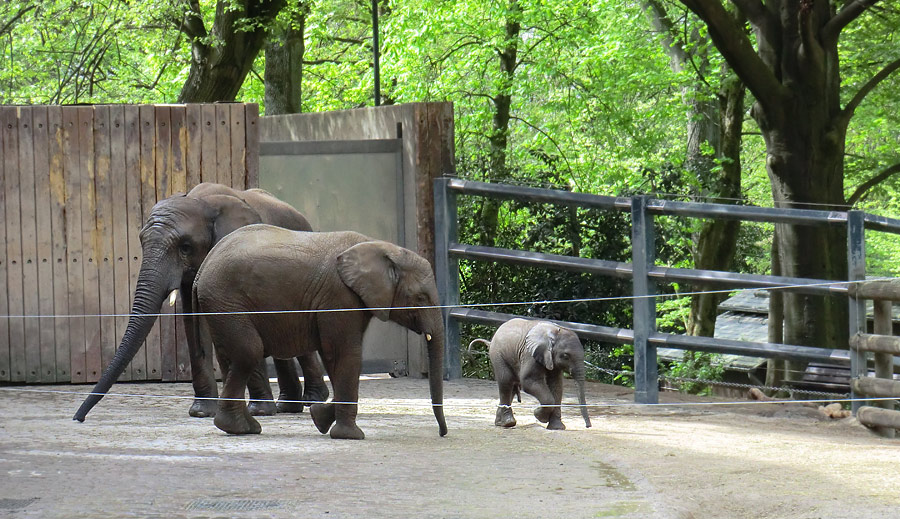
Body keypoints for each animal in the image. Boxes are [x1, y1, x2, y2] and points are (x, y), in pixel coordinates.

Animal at [72, 183, 328, 422]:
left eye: (185, 247)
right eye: (142, 242)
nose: (78, 418)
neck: (202, 201)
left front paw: (259, 411)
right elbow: (193, 322)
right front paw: (201, 412)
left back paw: (312, 400)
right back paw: (288, 405)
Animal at [192, 225, 446, 440]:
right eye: (420, 297)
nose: (442, 433)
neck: (381, 247)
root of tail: (202, 268)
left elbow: (333, 357)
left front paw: (320, 418)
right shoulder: (340, 296)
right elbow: (346, 354)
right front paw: (350, 436)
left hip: (220, 306)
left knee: (230, 358)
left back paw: (245, 428)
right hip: (227, 302)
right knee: (249, 352)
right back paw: (238, 427)